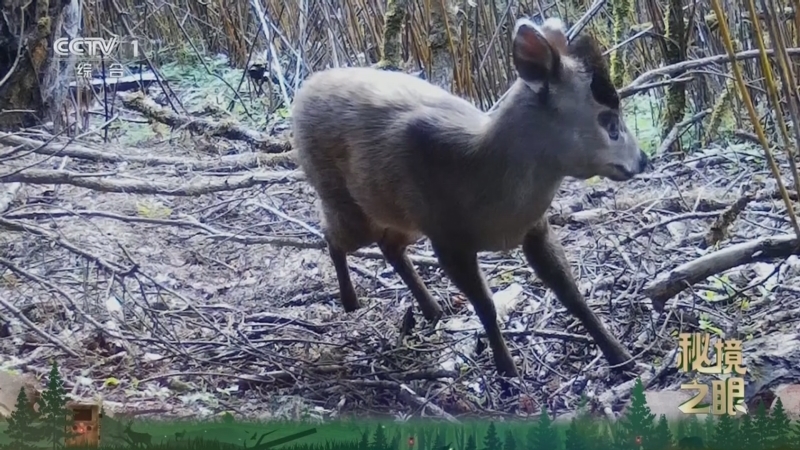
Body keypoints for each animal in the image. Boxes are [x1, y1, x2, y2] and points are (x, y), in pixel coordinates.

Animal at [291, 16, 649, 378]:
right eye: (608, 120)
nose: (642, 160)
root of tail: (305, 89)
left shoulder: (535, 227)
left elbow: (570, 293)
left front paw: (622, 357)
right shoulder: (449, 240)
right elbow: (485, 304)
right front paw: (507, 370)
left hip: (404, 217)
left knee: (390, 246)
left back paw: (432, 309)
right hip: (348, 204)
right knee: (331, 236)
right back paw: (350, 301)